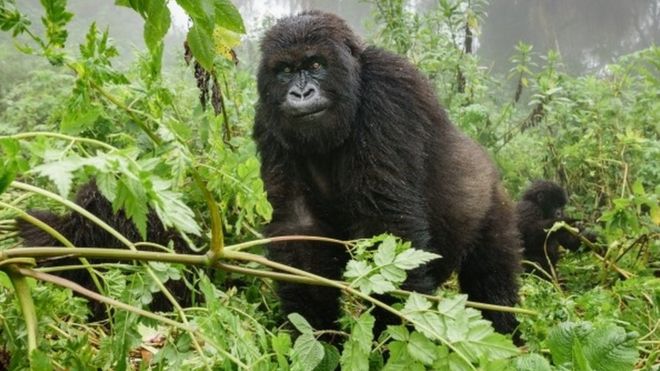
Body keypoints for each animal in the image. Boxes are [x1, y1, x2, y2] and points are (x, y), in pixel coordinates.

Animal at [251, 11, 520, 338]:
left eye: (315, 65)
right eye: (286, 71)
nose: (301, 93)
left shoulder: (389, 90)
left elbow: (387, 228)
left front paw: (398, 338)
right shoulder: (268, 119)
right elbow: (299, 224)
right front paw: (316, 333)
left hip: (496, 207)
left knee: (492, 284)